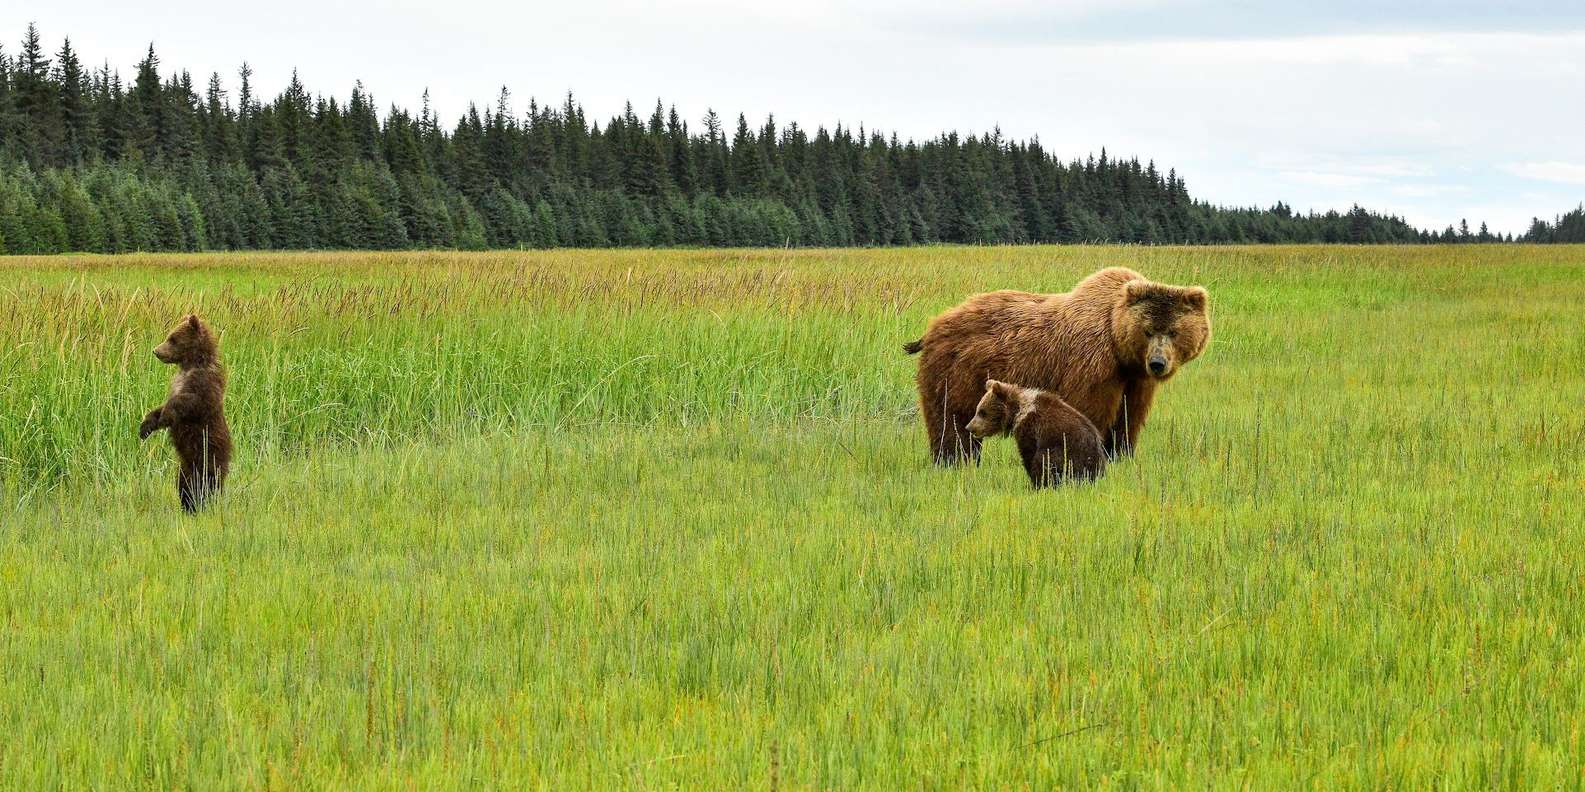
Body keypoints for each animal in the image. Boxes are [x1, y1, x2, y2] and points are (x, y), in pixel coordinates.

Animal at [906, 267, 1210, 462]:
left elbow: (1128, 419)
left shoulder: (1135, 380)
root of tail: (933, 327)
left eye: (1173, 331)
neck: (1118, 345)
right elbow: (1090, 411)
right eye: (1147, 330)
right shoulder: (1092, 364)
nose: (1158, 363)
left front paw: (1121, 455)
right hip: (956, 372)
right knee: (951, 422)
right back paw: (953, 460)